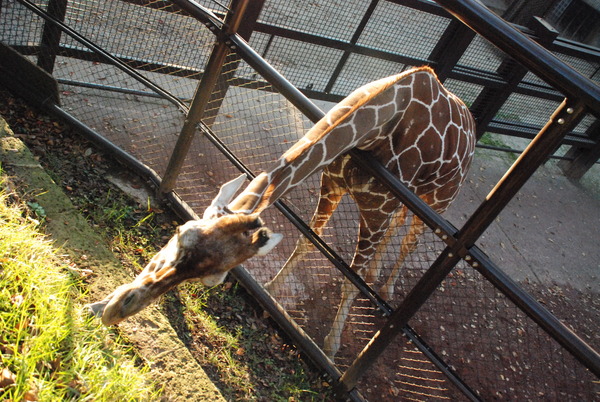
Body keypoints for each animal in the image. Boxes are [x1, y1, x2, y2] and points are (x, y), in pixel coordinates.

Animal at [89, 67, 476, 356]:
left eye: (215, 279)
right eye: (182, 234)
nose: (117, 310)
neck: (381, 121)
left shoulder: (377, 208)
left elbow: (350, 280)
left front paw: (331, 345)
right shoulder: (330, 186)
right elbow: (306, 242)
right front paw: (272, 288)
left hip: (438, 198)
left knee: (410, 240)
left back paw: (390, 285)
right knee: (398, 231)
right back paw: (379, 274)